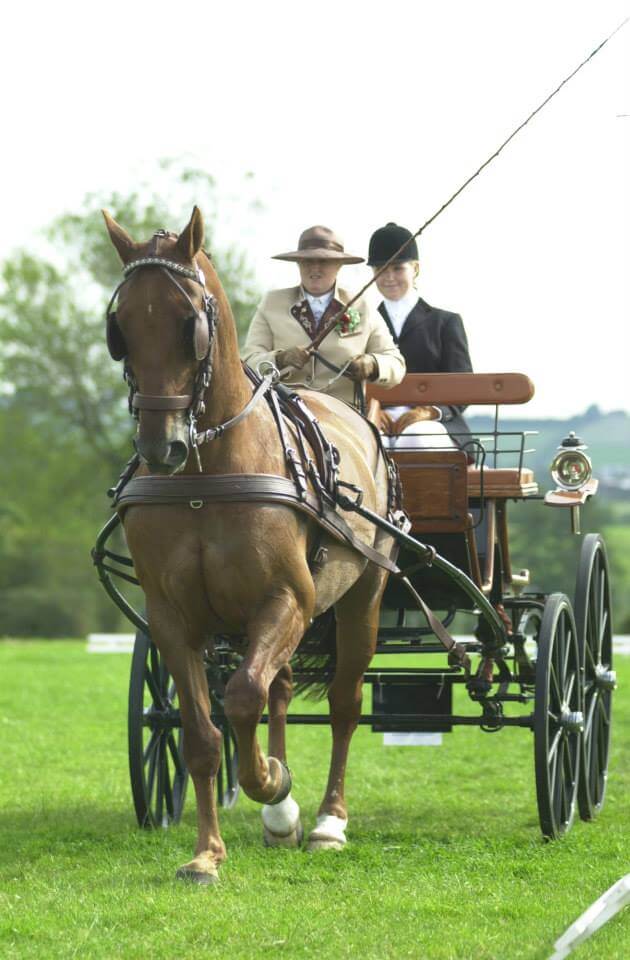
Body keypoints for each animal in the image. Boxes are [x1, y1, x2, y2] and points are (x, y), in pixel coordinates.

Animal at [103, 206, 396, 880]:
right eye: (120, 326)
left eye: (190, 322)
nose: (161, 445)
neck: (206, 475)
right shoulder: (172, 617)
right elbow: (201, 733)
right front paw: (208, 853)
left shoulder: (286, 598)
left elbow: (240, 699)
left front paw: (272, 782)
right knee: (280, 689)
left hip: (362, 595)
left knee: (343, 702)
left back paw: (327, 820)